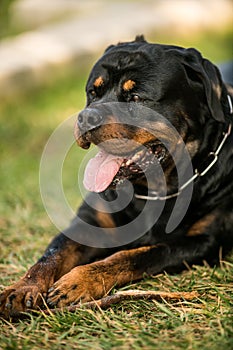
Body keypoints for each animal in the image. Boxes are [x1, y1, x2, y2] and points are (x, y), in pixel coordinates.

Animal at [0, 35, 233, 318]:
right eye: (93, 92)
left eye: (136, 97)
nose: (86, 117)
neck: (154, 190)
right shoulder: (88, 223)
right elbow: (53, 253)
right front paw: (23, 287)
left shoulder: (203, 241)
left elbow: (134, 255)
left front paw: (79, 281)